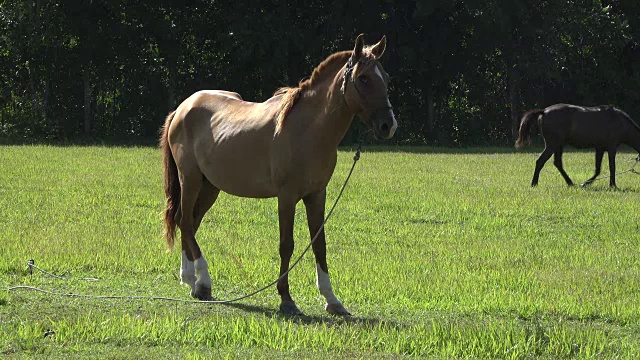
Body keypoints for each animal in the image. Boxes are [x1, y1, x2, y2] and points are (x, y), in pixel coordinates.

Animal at [160, 34, 398, 316]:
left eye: (386, 77)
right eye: (363, 78)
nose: (388, 125)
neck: (307, 130)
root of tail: (183, 107)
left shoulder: (316, 195)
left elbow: (319, 244)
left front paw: (332, 299)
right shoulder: (287, 197)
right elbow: (287, 245)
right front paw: (286, 299)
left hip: (210, 187)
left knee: (189, 223)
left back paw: (191, 281)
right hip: (191, 179)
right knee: (185, 221)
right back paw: (203, 281)